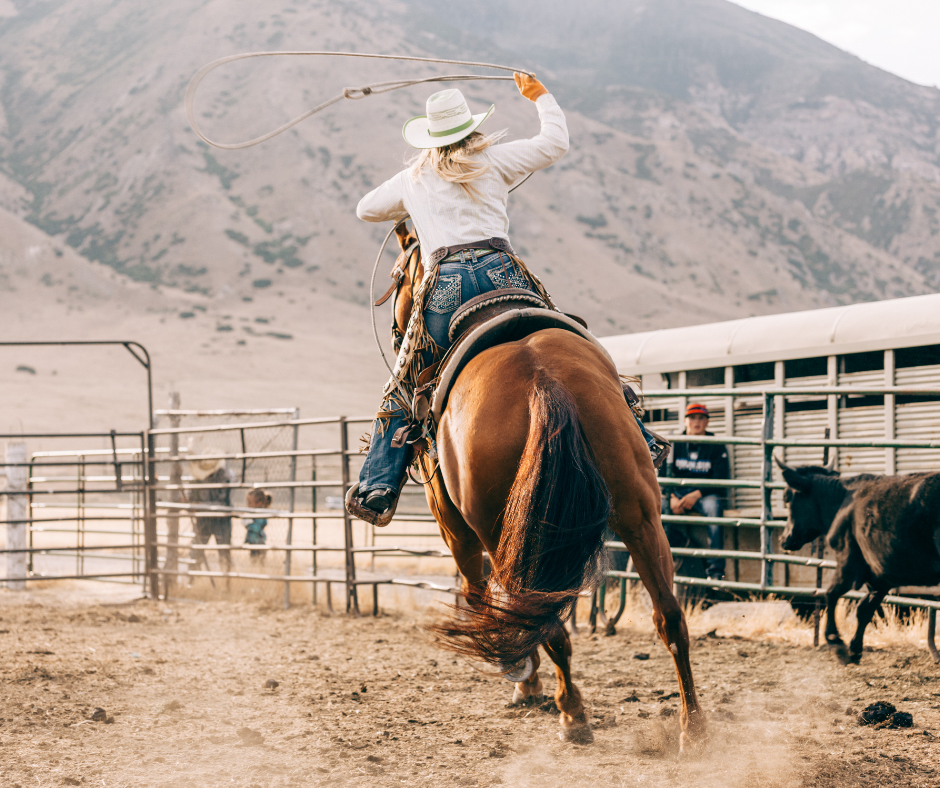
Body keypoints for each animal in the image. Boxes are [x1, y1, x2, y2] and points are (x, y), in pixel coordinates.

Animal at [384, 222, 704, 752]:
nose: (396, 335)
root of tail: (542, 379)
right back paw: (693, 726)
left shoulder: (452, 525)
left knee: (541, 619)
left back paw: (571, 714)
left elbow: (479, 594)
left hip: (502, 533)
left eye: (396, 277)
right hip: (640, 513)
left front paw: (521, 675)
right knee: (669, 616)